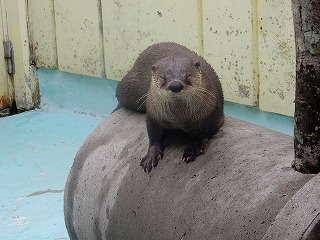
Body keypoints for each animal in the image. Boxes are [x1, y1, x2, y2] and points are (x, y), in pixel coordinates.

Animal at [116, 41, 224, 172]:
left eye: (188, 75)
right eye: (162, 77)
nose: (175, 85)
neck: (179, 120)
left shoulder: (212, 115)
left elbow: (201, 133)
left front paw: (192, 149)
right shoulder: (153, 115)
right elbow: (153, 135)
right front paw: (151, 156)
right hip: (130, 89)